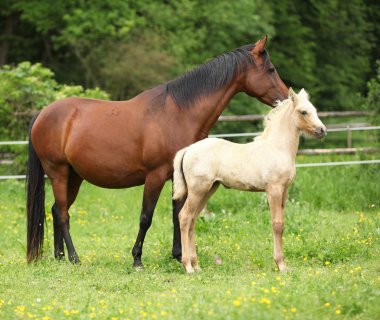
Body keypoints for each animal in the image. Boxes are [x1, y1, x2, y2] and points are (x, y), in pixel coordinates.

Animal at [27, 36, 288, 268]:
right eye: (271, 69)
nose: (286, 98)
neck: (178, 113)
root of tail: (42, 114)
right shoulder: (155, 176)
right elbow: (146, 217)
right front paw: (137, 259)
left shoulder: (177, 177)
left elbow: (178, 214)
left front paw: (179, 255)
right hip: (58, 173)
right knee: (63, 214)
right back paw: (74, 258)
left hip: (74, 177)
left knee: (56, 210)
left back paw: (60, 257)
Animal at [174, 88, 326, 272]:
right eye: (303, 111)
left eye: (315, 110)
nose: (322, 130)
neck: (278, 148)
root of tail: (189, 149)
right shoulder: (273, 189)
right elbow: (276, 224)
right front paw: (280, 265)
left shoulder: (284, 191)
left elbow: (282, 224)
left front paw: (284, 264)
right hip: (198, 190)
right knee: (184, 217)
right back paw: (188, 266)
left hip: (208, 190)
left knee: (192, 220)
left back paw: (197, 266)